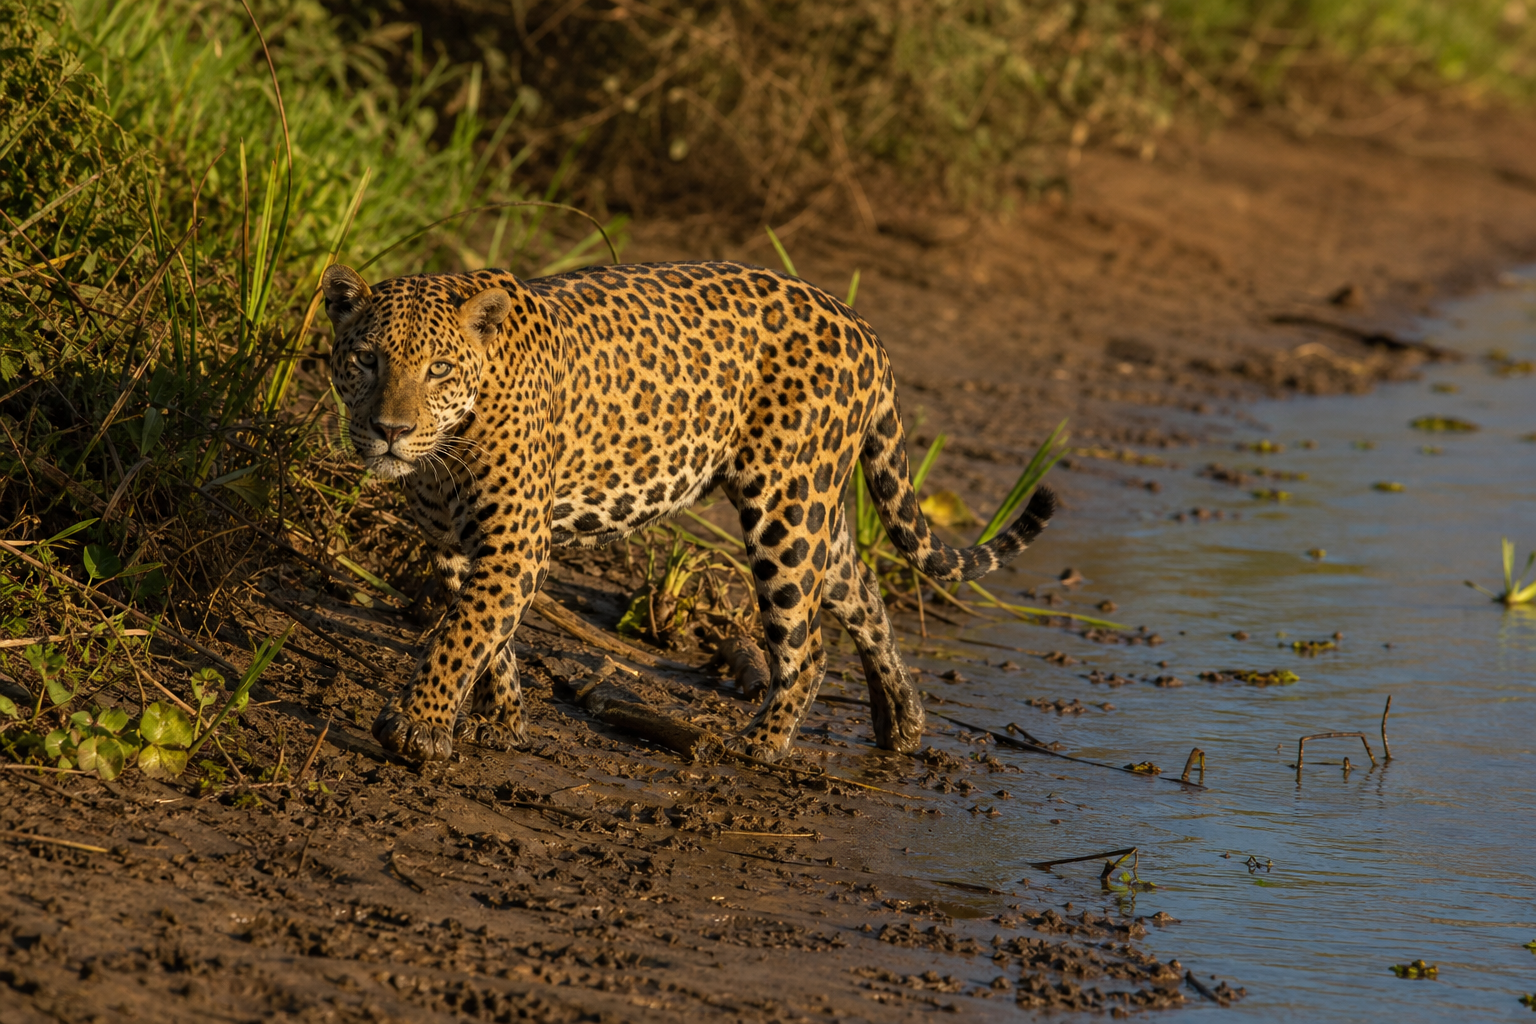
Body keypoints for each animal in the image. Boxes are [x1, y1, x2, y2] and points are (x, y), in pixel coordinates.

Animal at [321, 260, 1056, 765]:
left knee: (809, 644)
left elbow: (462, 633)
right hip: (817, 502)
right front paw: (499, 719)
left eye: (439, 369)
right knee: (864, 591)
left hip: (785, 509)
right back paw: (900, 722)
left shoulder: (515, 543)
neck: (443, 451)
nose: (389, 430)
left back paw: (760, 742)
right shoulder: (453, 545)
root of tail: (865, 330)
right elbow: (484, 635)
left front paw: (416, 726)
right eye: (366, 359)